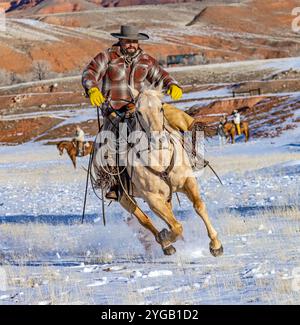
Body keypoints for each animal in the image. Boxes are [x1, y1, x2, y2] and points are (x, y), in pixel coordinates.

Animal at [94, 85, 223, 256]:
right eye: (139, 112)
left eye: (161, 107)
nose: (158, 140)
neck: (160, 158)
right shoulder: (153, 199)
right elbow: (176, 226)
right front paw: (165, 238)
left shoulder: (187, 182)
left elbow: (199, 206)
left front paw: (215, 244)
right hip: (124, 198)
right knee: (144, 220)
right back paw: (166, 244)